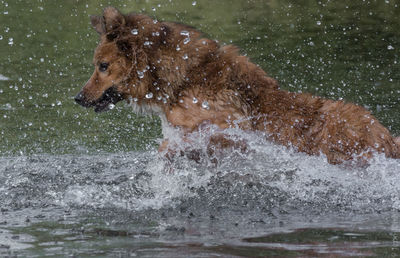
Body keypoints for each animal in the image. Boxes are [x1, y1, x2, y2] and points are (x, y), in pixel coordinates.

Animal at [75, 7, 400, 165]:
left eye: (102, 66)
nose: (78, 97)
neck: (182, 79)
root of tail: (386, 136)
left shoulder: (224, 124)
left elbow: (177, 144)